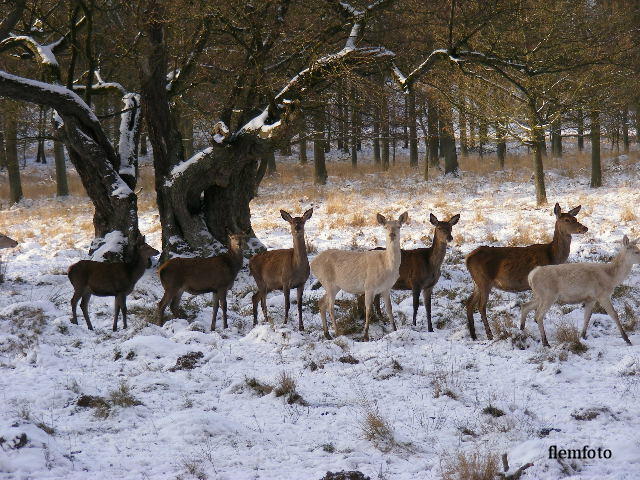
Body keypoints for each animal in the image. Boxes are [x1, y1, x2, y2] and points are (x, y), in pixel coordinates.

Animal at [312, 211, 410, 342]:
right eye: (385, 227)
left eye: (399, 226)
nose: (392, 235)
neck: (388, 267)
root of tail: (312, 264)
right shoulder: (369, 286)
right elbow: (368, 309)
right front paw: (365, 335)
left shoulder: (386, 288)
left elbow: (389, 308)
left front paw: (394, 330)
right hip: (328, 282)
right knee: (330, 306)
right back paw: (337, 332)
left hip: (334, 285)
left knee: (321, 302)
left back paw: (327, 334)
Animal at [462, 202, 588, 342]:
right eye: (567, 220)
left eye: (575, 218)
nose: (585, 228)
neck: (552, 256)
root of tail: (468, 258)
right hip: (484, 280)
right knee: (481, 306)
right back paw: (489, 335)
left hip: (477, 282)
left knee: (469, 303)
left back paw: (473, 335)